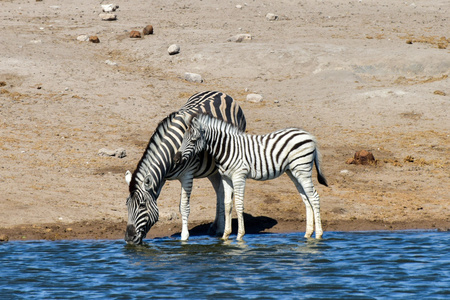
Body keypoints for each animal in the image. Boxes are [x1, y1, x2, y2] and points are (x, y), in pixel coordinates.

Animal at [125, 91, 248, 244]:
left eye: (142, 205)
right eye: (127, 204)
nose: (129, 238)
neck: (172, 150)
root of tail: (222, 93)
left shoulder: (187, 175)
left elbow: (183, 207)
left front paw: (184, 238)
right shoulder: (162, 177)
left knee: (221, 190)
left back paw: (220, 229)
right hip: (212, 169)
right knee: (218, 190)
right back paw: (216, 227)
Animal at [173, 113, 326, 241]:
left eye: (193, 140)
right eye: (183, 139)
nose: (176, 158)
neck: (227, 148)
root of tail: (308, 135)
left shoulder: (239, 176)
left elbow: (239, 204)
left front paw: (240, 236)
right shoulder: (226, 178)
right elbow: (227, 204)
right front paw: (225, 236)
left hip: (302, 168)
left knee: (314, 197)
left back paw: (318, 235)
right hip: (293, 172)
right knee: (306, 199)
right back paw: (307, 234)